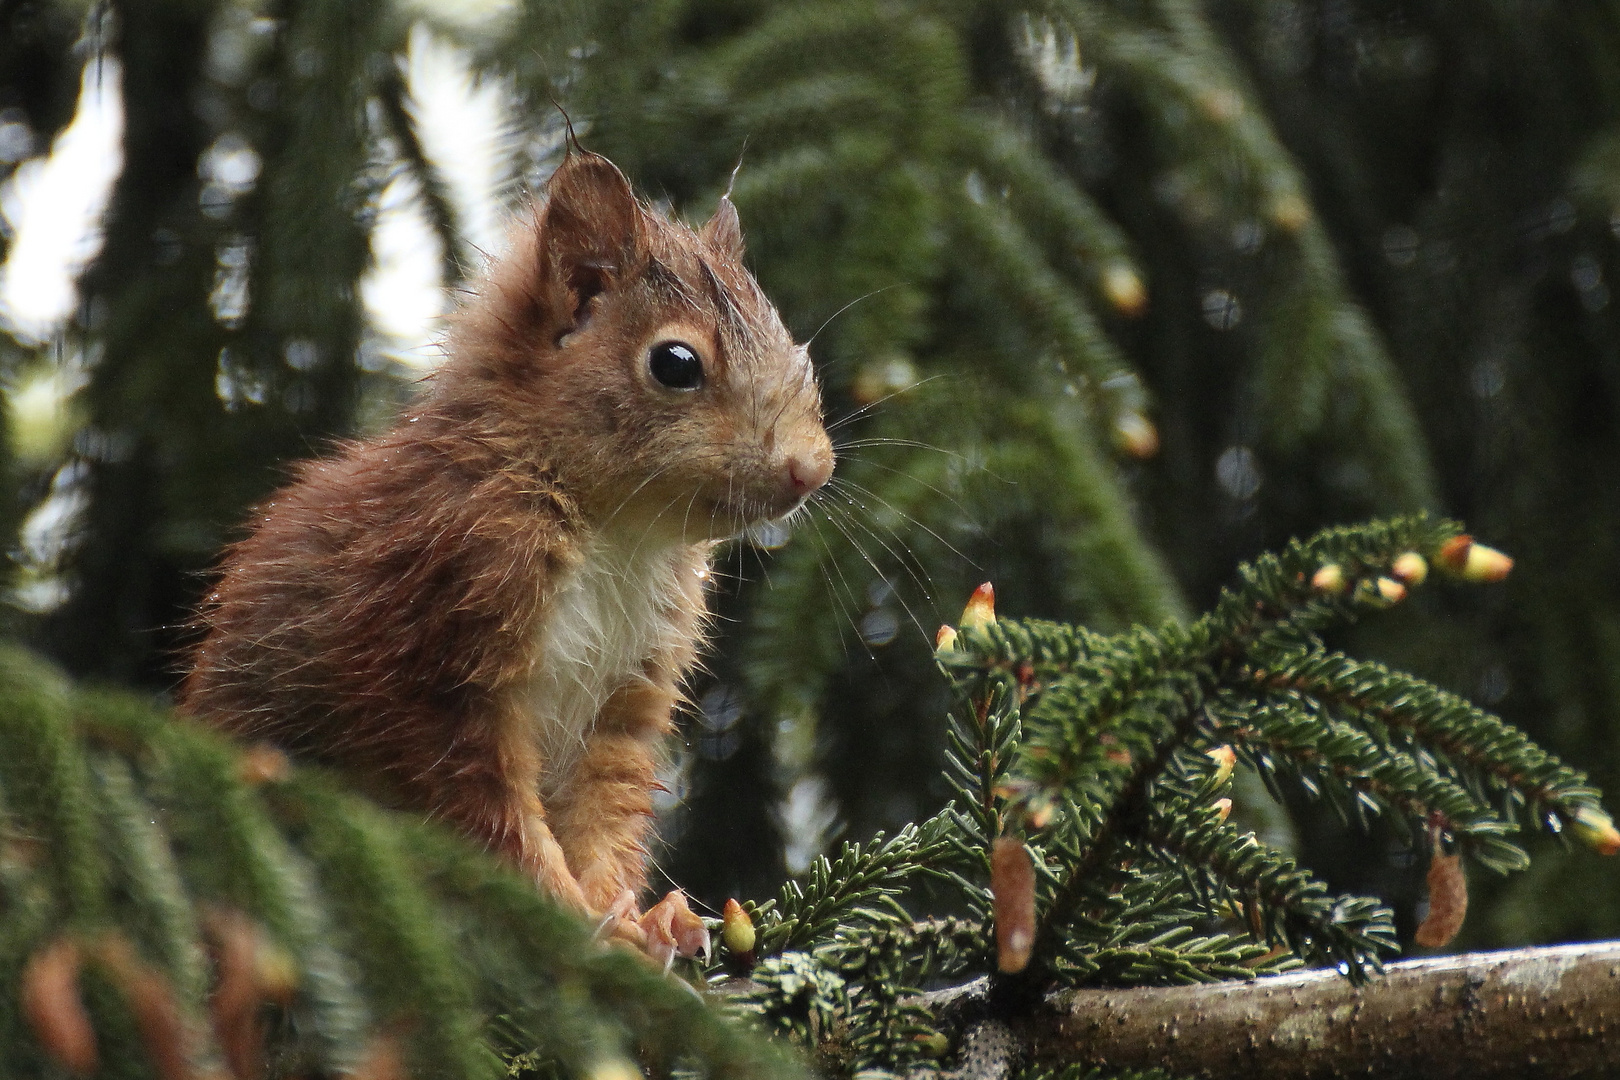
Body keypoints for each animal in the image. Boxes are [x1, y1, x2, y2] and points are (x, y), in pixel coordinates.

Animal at [180, 148, 835, 958]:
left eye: (793, 346)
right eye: (676, 363)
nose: (813, 469)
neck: (617, 533)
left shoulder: (630, 693)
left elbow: (606, 808)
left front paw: (645, 918)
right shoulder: (443, 645)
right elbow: (488, 811)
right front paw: (573, 917)